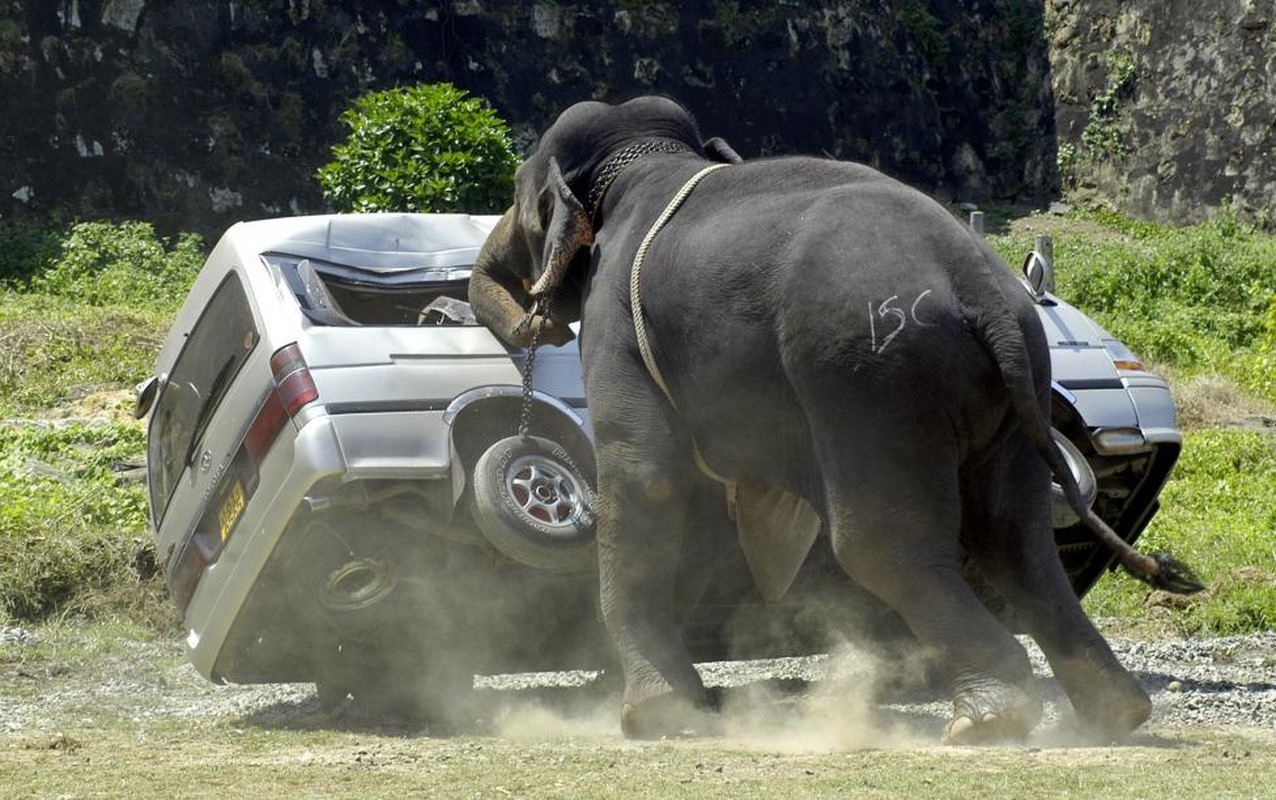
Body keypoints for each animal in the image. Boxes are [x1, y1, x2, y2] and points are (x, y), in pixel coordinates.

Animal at [467, 95, 1194, 745]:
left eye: (521, 196)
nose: (536, 320)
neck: (650, 159)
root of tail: (982, 290)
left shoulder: (616, 320)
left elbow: (648, 477)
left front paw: (654, 719)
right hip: (1014, 390)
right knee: (1015, 534)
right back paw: (1115, 714)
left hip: (869, 379)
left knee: (881, 541)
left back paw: (990, 719)